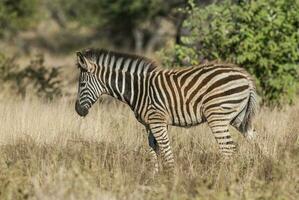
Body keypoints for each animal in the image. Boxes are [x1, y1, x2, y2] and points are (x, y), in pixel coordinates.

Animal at [74, 48, 258, 173]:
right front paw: (155, 177)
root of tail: (246, 77)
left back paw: (224, 177)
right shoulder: (149, 124)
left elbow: (166, 150)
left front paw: (171, 178)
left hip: (217, 116)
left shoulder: (157, 121)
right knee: (255, 141)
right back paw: (258, 168)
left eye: (82, 84)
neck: (138, 90)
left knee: (229, 148)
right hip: (239, 117)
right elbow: (153, 150)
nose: (77, 111)